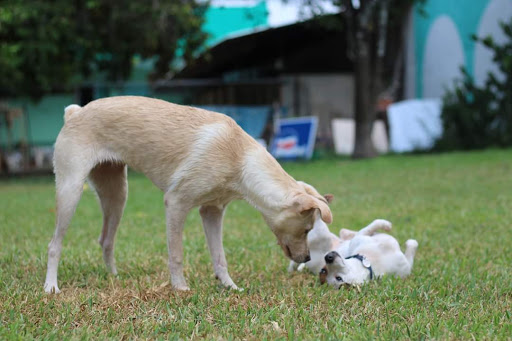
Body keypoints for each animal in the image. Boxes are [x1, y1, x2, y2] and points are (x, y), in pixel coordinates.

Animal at [43, 95, 332, 292]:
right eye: (307, 229)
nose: (307, 259)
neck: (239, 158)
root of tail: (75, 112)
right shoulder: (176, 203)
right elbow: (176, 254)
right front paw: (180, 288)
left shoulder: (212, 211)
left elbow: (220, 257)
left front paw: (230, 287)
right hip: (70, 191)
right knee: (54, 245)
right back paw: (51, 287)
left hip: (116, 194)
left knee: (106, 240)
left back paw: (113, 277)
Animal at [288, 218, 416, 286]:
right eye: (324, 270)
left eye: (338, 278)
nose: (328, 257)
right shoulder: (360, 237)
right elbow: (371, 226)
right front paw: (385, 225)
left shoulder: (405, 267)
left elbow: (412, 246)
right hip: (320, 233)